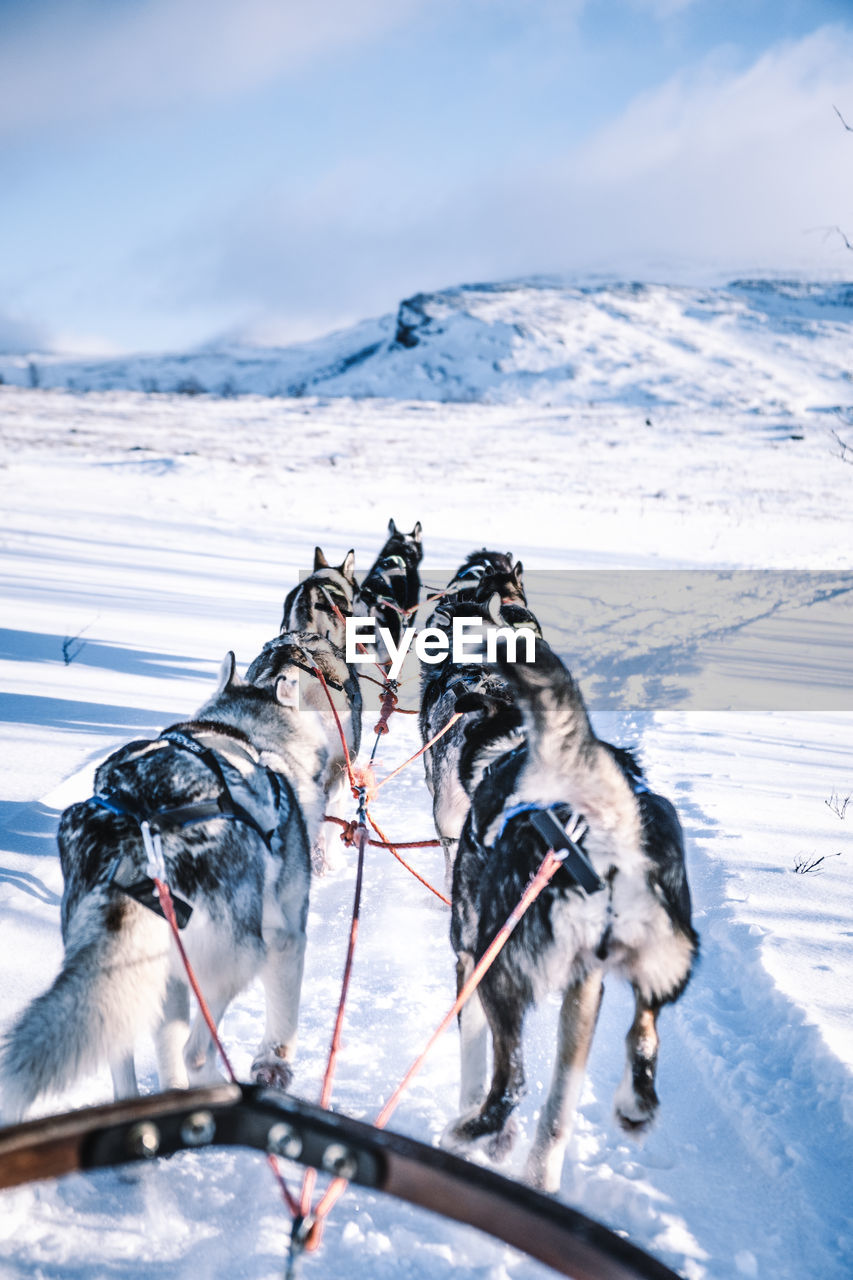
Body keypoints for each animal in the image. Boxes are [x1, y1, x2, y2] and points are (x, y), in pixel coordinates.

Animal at [0, 634, 353, 1126]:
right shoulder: (287, 938)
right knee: (198, 1053)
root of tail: (139, 838)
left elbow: (166, 1052)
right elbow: (281, 1024)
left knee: (128, 1053)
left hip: (133, 973)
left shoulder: (171, 979)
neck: (244, 736)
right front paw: (274, 1065)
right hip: (239, 958)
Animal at [440, 640, 696, 1198]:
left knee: (511, 1085)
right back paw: (618, 1116)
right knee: (637, 1041)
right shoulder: (585, 987)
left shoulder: (470, 959)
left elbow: (473, 1059)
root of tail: (602, 824)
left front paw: (484, 1132)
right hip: (658, 961)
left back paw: (467, 1133)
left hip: (499, 969)